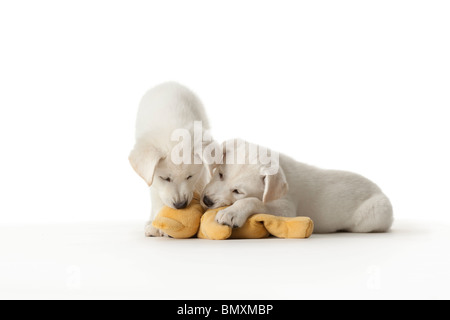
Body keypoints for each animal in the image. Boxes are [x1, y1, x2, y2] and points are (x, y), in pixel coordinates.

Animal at [201, 139, 394, 232]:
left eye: (238, 191)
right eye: (220, 174)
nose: (206, 200)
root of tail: (380, 190)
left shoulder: (287, 209)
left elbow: (253, 201)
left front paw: (231, 212)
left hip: (376, 213)